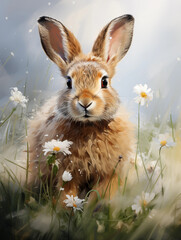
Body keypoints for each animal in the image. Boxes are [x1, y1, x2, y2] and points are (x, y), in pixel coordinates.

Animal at [27, 14, 134, 200]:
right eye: (69, 82)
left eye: (104, 82)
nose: (85, 102)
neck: (89, 126)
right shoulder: (67, 172)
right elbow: (67, 193)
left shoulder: (110, 172)